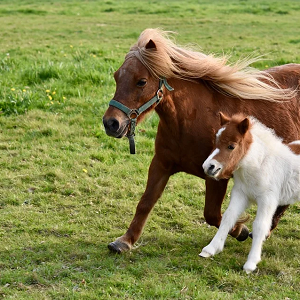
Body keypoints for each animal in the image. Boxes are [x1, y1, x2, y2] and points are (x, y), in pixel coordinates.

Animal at [102, 28, 300, 253]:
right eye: (117, 77)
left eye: (141, 81)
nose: (111, 123)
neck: (189, 121)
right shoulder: (161, 164)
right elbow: (145, 202)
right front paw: (125, 240)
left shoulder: (217, 176)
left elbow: (213, 214)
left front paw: (240, 230)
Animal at [199, 113, 300, 274]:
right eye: (216, 141)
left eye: (231, 146)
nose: (208, 166)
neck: (259, 164)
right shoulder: (241, 194)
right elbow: (228, 217)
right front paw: (211, 249)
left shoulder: (267, 200)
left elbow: (260, 226)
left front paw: (251, 264)